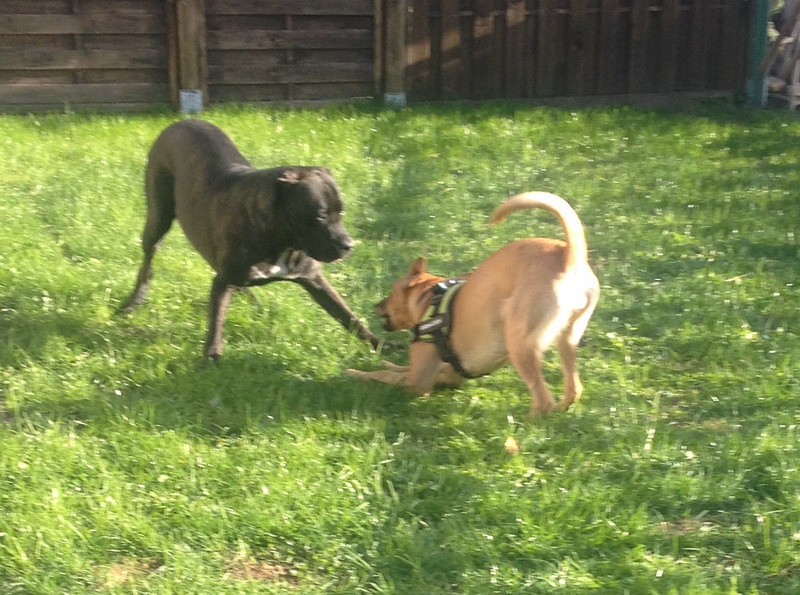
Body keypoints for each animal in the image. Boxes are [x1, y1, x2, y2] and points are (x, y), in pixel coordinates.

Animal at [119, 119, 383, 359]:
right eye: (320, 214)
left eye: (341, 212)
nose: (348, 246)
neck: (282, 240)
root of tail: (180, 122)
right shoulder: (223, 281)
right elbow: (216, 325)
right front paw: (211, 358)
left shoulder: (315, 281)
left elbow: (349, 317)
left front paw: (380, 345)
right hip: (158, 218)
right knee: (147, 263)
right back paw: (133, 302)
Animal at [347, 192, 599, 416]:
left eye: (390, 294)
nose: (376, 305)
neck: (429, 298)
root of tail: (569, 257)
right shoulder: (446, 375)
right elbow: (398, 368)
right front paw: (385, 363)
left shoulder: (419, 383)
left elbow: (384, 375)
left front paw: (356, 373)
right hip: (567, 338)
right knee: (574, 389)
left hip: (519, 342)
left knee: (543, 399)